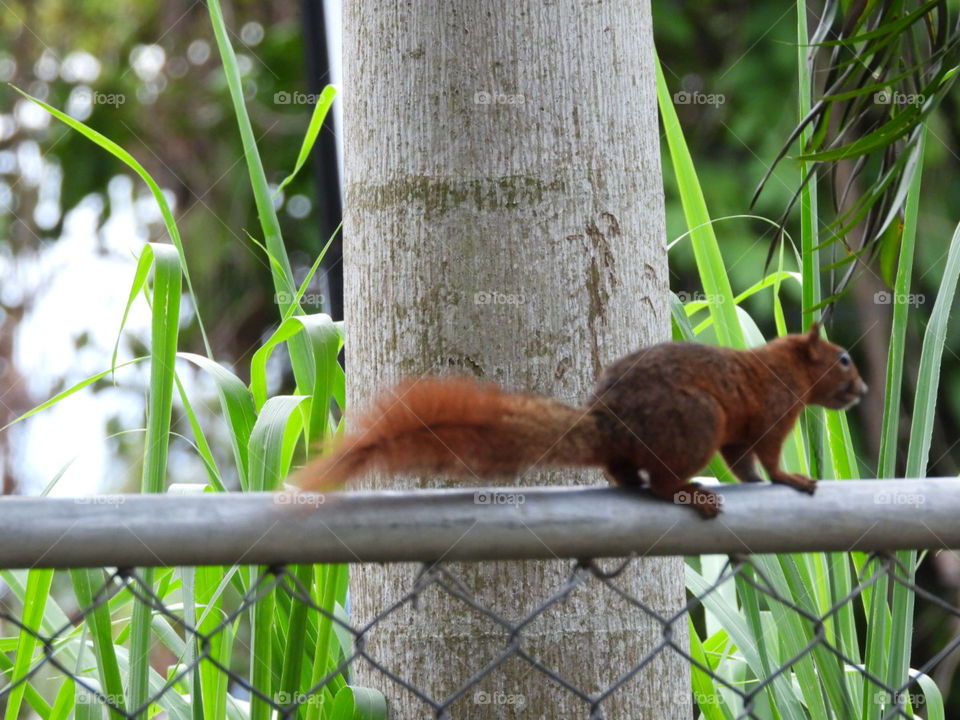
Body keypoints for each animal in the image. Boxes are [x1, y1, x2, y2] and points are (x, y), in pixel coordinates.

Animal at [295, 324, 867, 518]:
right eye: (843, 360)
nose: (861, 391)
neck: (783, 366)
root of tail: (610, 422)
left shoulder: (743, 432)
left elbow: (744, 462)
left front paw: (752, 480)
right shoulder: (772, 412)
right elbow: (767, 458)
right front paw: (791, 478)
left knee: (622, 471)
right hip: (697, 419)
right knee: (660, 483)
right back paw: (689, 493)